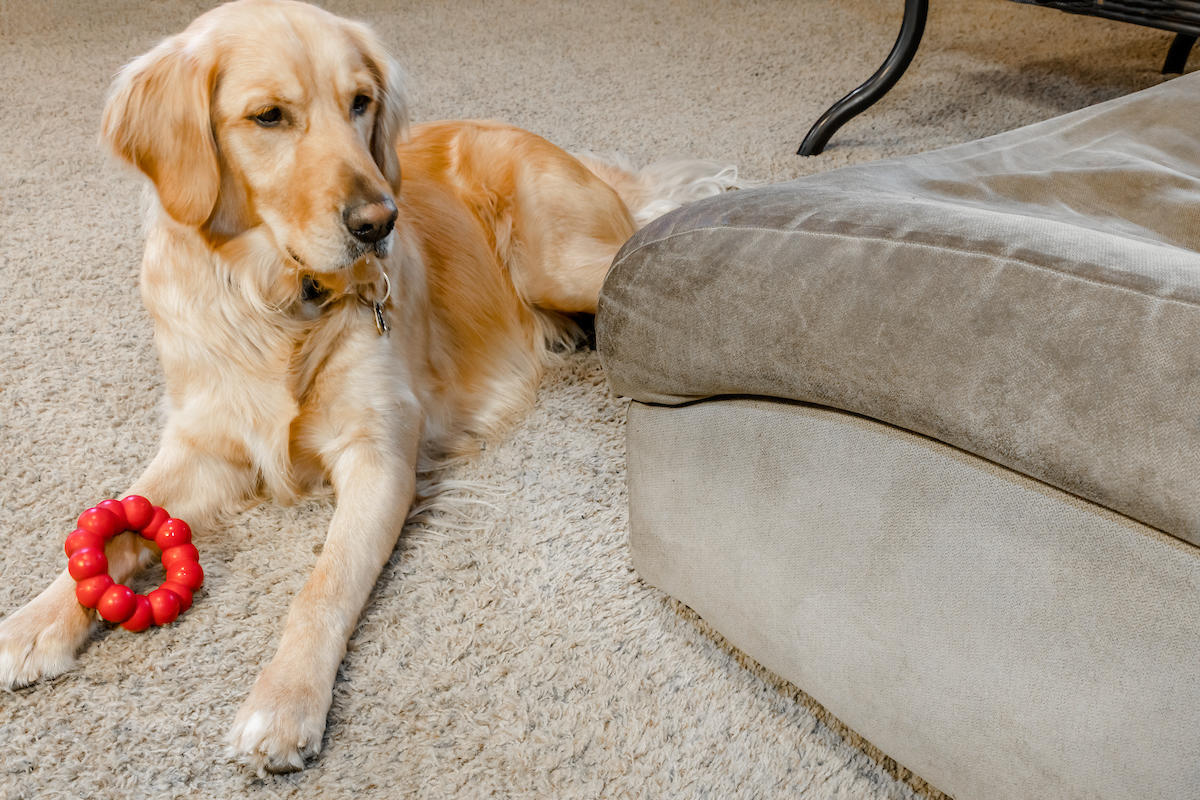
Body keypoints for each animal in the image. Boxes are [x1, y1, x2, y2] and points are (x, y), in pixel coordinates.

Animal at [0, 0, 734, 777]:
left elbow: (323, 585)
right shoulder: (204, 443)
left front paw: (284, 702)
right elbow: (114, 520)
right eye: (268, 116)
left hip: (561, 261)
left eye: (360, 102)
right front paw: (34, 621)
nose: (377, 222)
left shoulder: (379, 455)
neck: (277, 301)